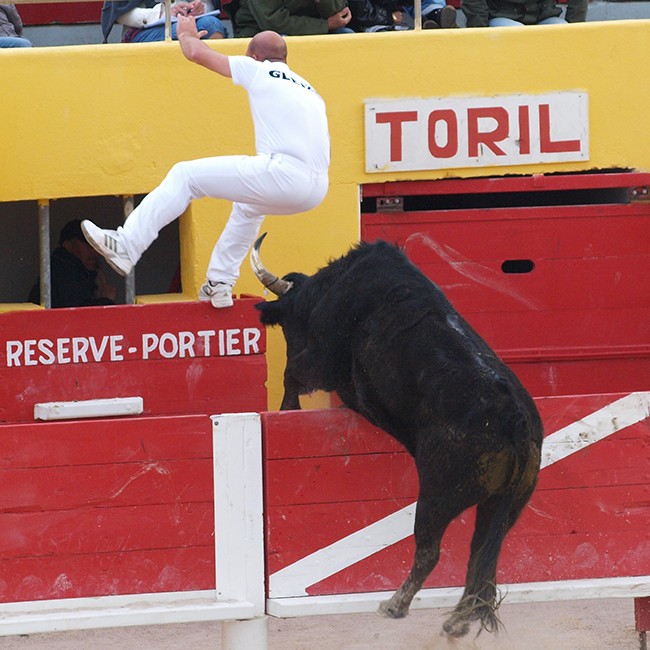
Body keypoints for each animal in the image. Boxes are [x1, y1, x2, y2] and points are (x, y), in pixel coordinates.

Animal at [249, 234, 540, 636]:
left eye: (289, 327)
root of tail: (515, 419)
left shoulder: (319, 359)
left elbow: (291, 374)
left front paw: (286, 410)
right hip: (505, 504)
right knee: (482, 558)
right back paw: (458, 620)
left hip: (437, 496)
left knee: (430, 551)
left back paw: (396, 606)